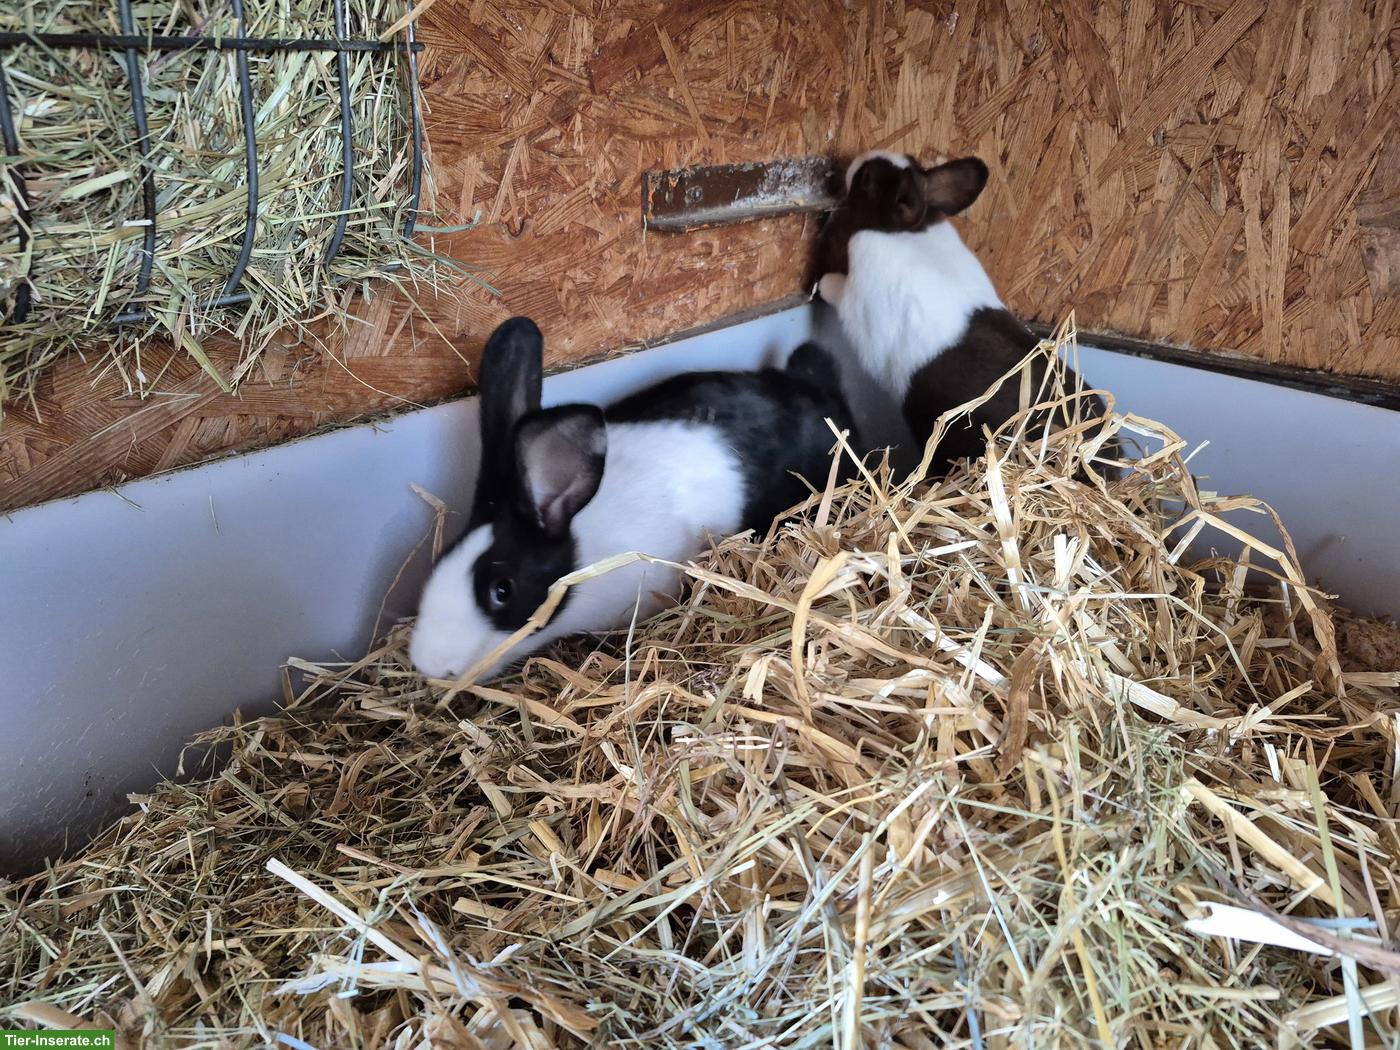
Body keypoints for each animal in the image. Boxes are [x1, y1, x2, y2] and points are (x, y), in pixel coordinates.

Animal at [815, 150, 1109, 477]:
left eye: (867, 180)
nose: (856, 160)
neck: (907, 232)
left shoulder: (855, 302)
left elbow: (835, 288)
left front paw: (820, 283)